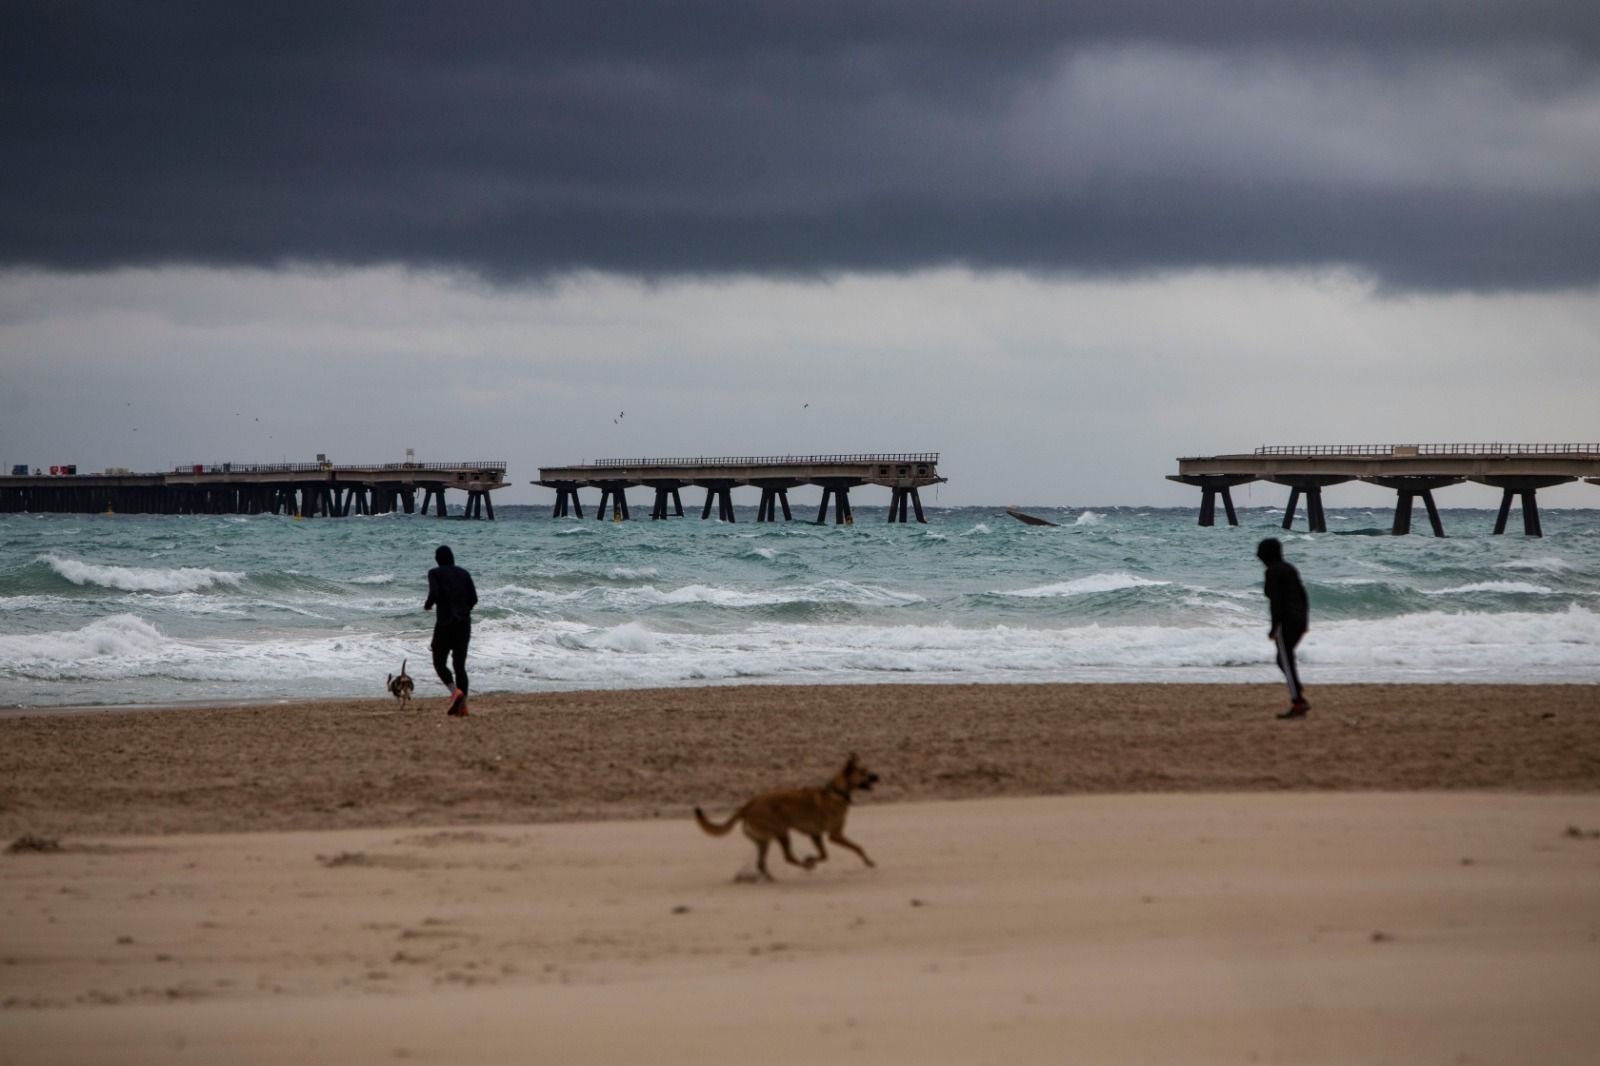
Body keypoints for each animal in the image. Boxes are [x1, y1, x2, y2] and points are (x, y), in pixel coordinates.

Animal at [694, 745, 883, 877]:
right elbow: (857, 847)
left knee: (761, 864)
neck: (836, 792)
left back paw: (772, 878)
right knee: (788, 857)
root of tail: (747, 806)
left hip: (764, 840)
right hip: (782, 831)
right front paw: (868, 862)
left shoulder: (815, 835)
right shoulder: (834, 835)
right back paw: (803, 866)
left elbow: (824, 855)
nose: (878, 776)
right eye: (864, 772)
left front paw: (811, 858)